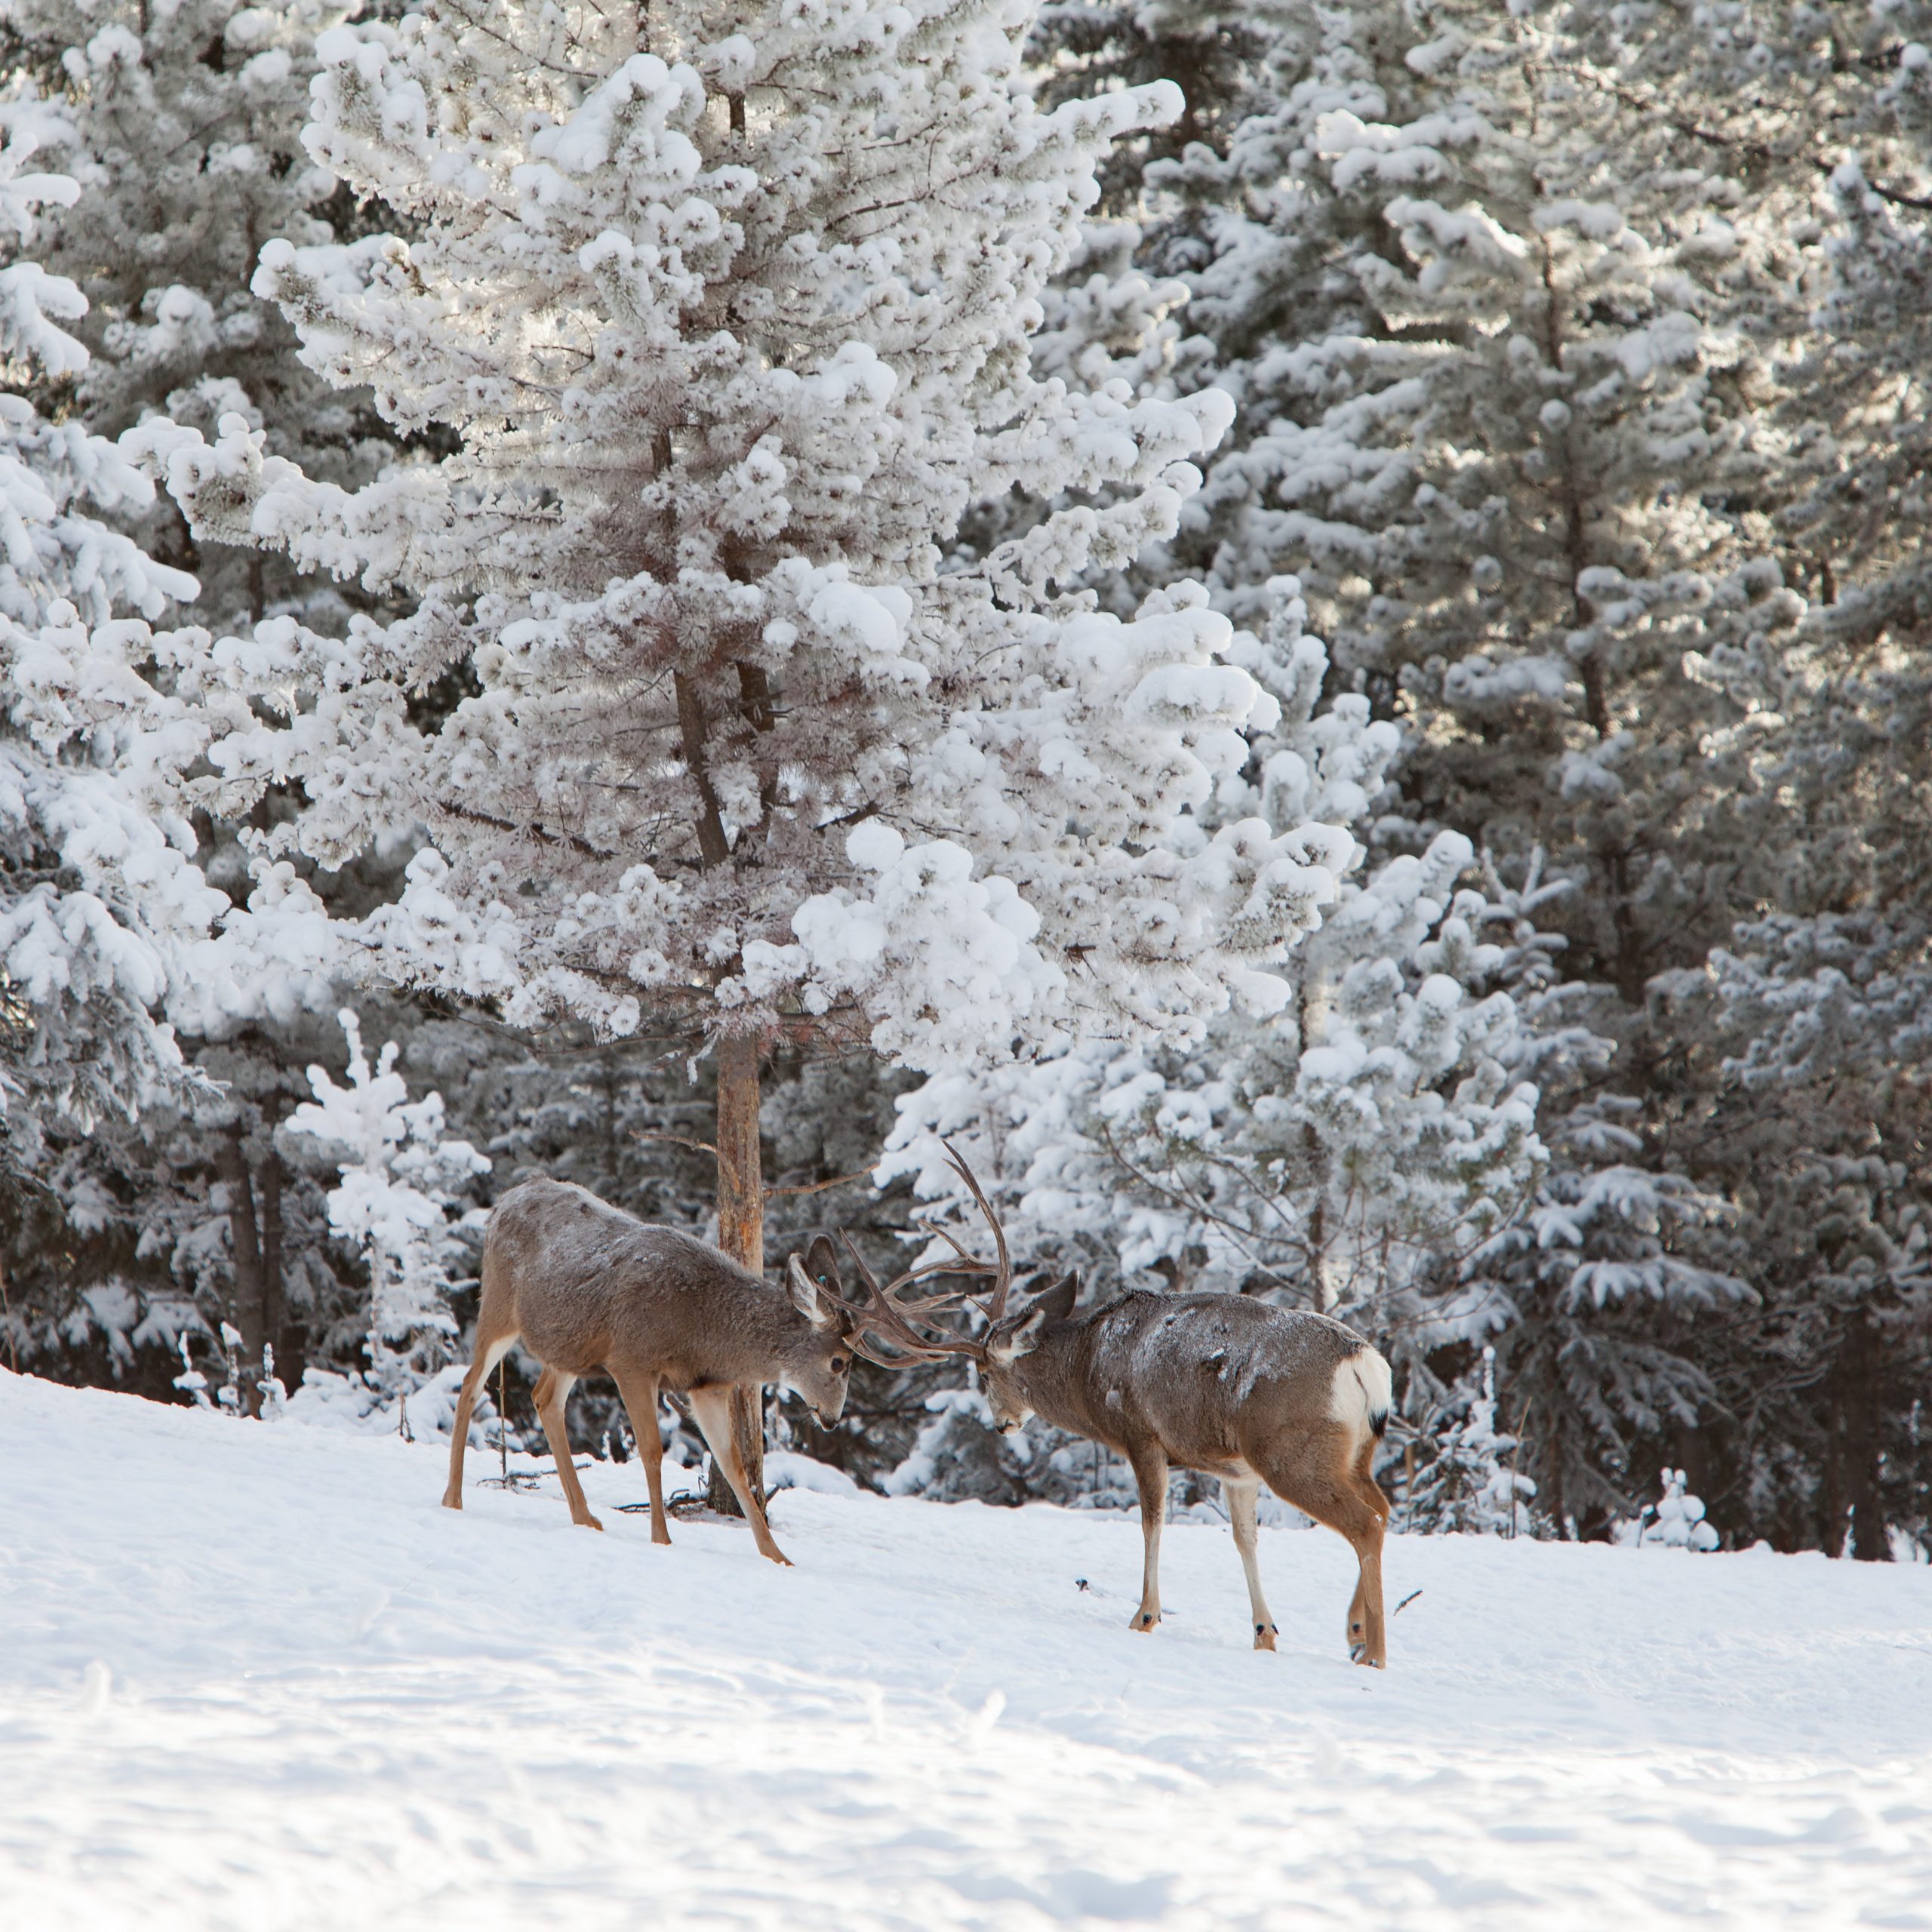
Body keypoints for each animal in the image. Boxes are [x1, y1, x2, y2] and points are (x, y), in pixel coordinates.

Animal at [442, 1174, 974, 1568]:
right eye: (839, 1362)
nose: (831, 1419)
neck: (705, 1330)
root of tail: (504, 1200)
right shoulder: (632, 1359)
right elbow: (652, 1451)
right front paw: (662, 1538)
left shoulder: (707, 1385)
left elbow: (736, 1465)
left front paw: (777, 1556)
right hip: (499, 1306)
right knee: (469, 1385)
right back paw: (453, 1499)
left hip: (567, 1347)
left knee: (545, 1398)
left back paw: (584, 1517)